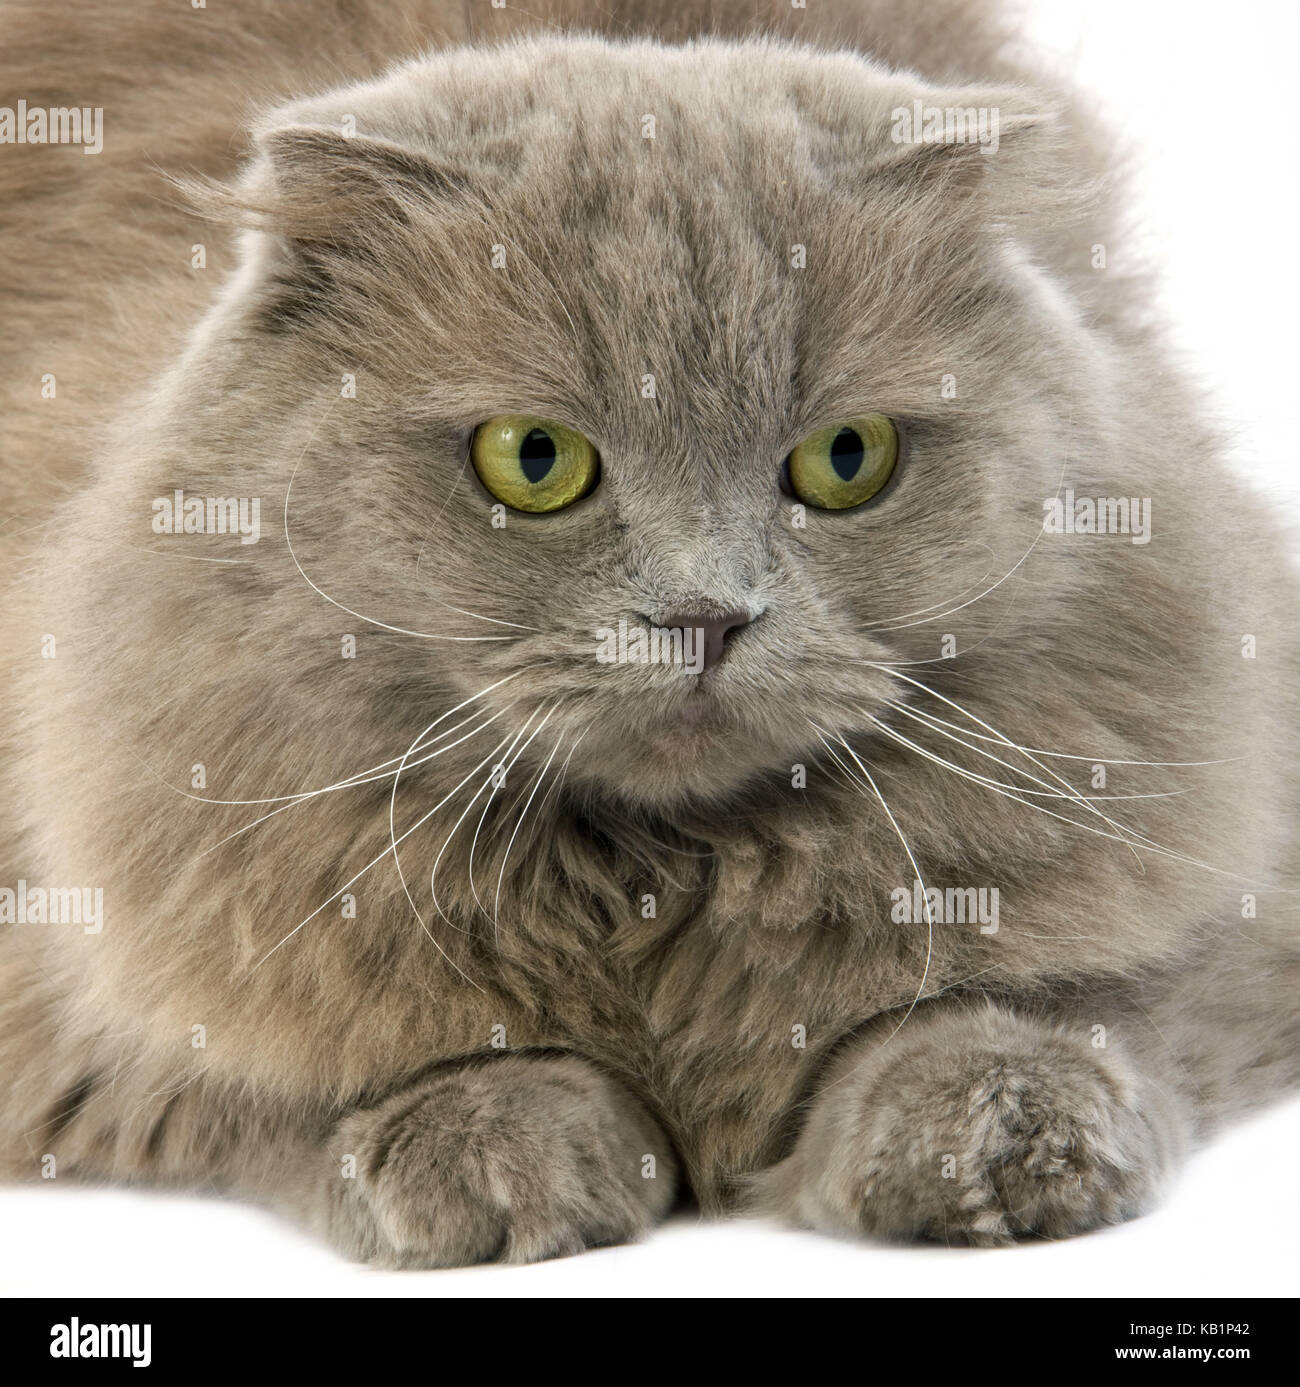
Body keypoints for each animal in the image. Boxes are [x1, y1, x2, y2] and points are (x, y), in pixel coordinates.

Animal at [2, 0, 1298, 1270]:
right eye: (533, 460)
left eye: (847, 458)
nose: (704, 617)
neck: (658, 881)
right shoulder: (80, 985)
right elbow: (301, 1064)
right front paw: (495, 1143)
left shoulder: (1236, 874)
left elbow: (1082, 998)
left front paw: (988, 1125)